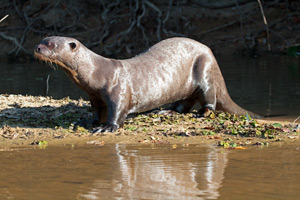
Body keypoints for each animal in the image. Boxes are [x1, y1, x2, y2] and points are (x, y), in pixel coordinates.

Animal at [34, 36, 262, 133]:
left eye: (51, 44)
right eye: (42, 39)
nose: (37, 47)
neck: (97, 73)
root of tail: (211, 54)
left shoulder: (118, 90)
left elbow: (118, 110)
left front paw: (107, 127)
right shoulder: (94, 96)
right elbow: (96, 111)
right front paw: (90, 122)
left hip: (204, 68)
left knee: (209, 98)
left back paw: (203, 113)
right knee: (184, 104)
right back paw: (166, 111)